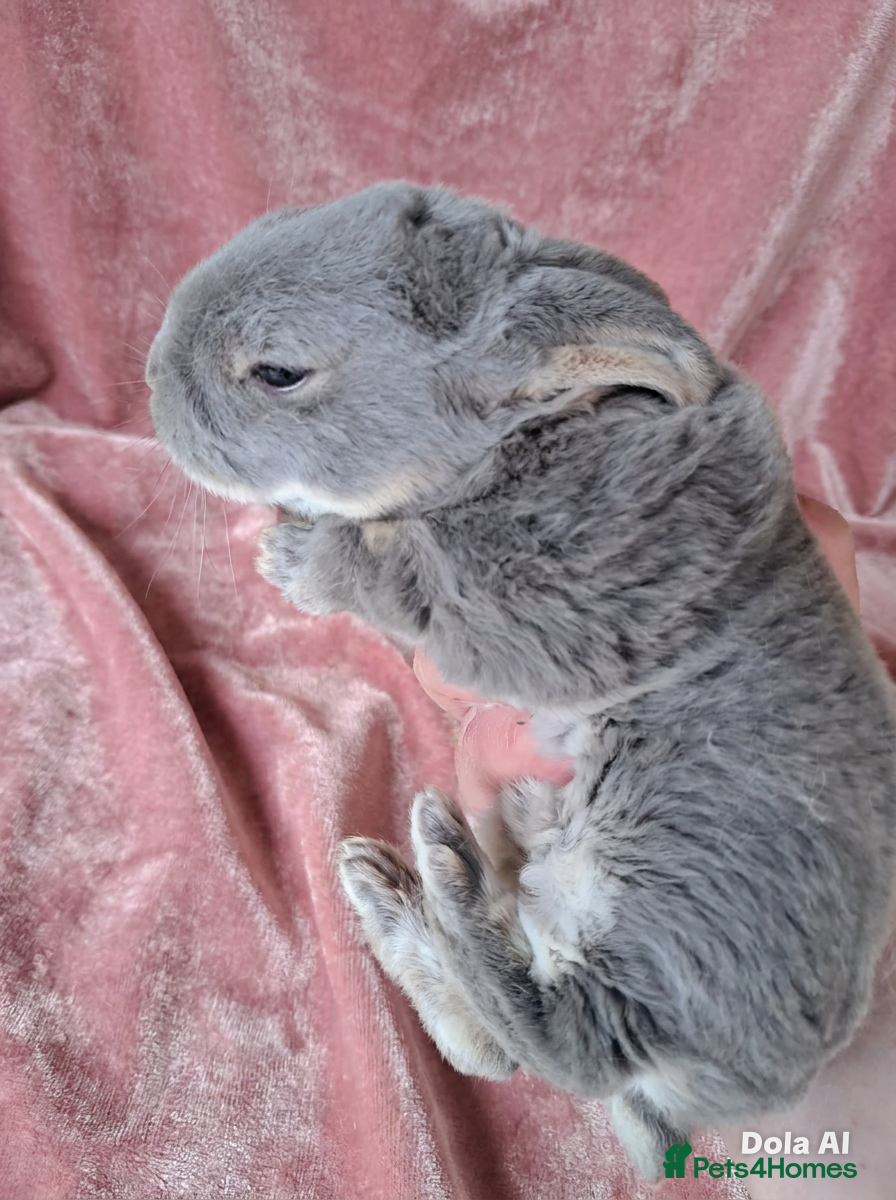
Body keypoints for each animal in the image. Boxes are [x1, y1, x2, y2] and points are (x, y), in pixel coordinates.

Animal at [146, 181, 896, 1182]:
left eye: (277, 373)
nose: (151, 379)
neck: (518, 444)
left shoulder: (554, 601)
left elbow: (409, 581)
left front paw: (299, 560)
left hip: (678, 879)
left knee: (569, 1046)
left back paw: (447, 876)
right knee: (494, 1052)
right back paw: (396, 900)